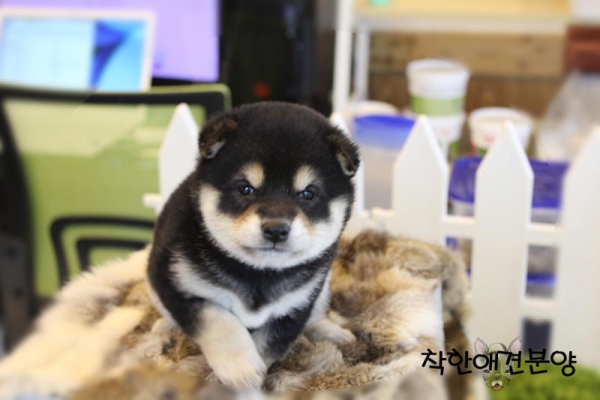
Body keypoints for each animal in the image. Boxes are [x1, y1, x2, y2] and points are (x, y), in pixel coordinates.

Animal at [147, 101, 358, 390]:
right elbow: (216, 319)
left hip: (322, 290)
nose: (276, 229)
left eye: (308, 194)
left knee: (316, 318)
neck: (257, 272)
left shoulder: (296, 307)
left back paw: (333, 331)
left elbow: (268, 343)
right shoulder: (175, 285)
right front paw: (240, 367)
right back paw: (164, 327)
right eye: (246, 189)